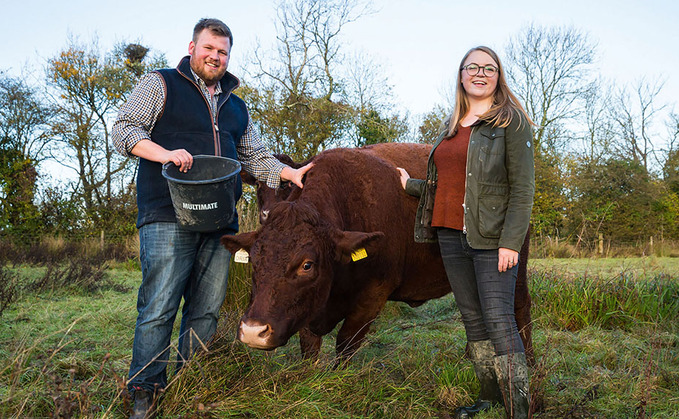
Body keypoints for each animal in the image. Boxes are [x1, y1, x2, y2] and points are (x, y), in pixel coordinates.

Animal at [223, 144, 532, 360]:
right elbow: (309, 346)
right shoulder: (309, 307)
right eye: (254, 261)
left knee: (519, 307)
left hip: (512, 266)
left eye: (307, 265)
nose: (253, 331)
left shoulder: (374, 294)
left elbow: (346, 342)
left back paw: (527, 360)